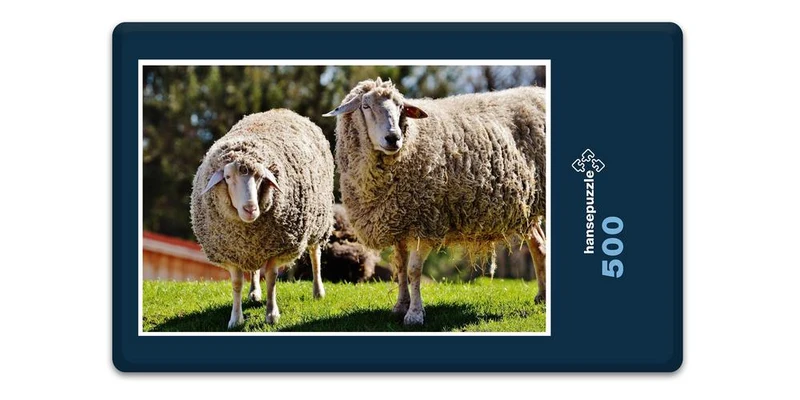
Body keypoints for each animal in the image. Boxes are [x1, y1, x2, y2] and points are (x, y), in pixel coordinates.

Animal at [190, 109, 334, 329]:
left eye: (260, 178)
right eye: (228, 177)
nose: (250, 208)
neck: (247, 230)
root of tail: (282, 110)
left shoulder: (277, 248)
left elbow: (272, 279)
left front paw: (271, 314)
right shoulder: (233, 253)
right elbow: (237, 283)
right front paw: (236, 318)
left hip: (319, 223)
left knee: (315, 255)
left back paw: (318, 291)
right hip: (255, 248)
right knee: (254, 270)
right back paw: (254, 292)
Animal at [324, 78, 547, 325]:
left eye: (401, 108)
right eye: (365, 106)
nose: (394, 138)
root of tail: (538, 92)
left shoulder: (425, 221)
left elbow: (413, 270)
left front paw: (414, 314)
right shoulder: (398, 220)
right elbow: (400, 267)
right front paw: (400, 306)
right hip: (527, 209)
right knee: (539, 246)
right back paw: (541, 296)